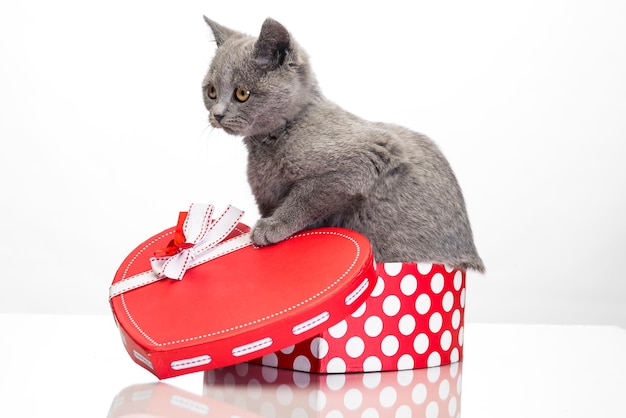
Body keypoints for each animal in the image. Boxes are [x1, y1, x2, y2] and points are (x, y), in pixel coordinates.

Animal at [200, 17, 482, 272]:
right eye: (211, 91)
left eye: (242, 94)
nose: (217, 114)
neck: (274, 139)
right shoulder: (266, 198)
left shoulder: (366, 158)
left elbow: (306, 196)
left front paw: (271, 227)